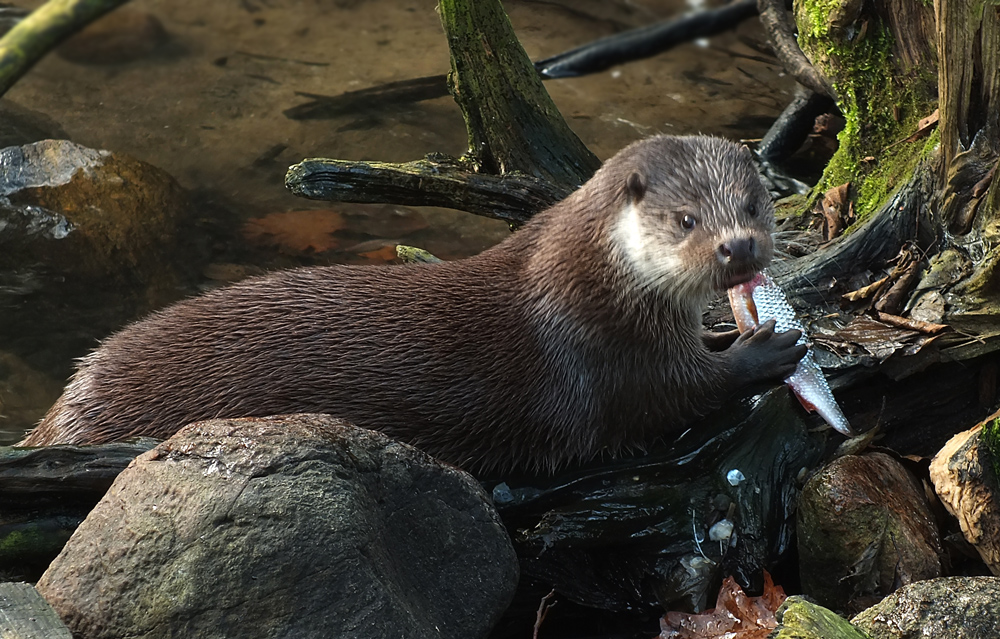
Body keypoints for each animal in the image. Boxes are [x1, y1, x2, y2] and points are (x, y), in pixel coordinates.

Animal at [21, 136, 804, 476]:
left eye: (752, 204)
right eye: (686, 220)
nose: (740, 249)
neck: (586, 281)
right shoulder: (602, 352)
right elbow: (673, 395)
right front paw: (766, 348)